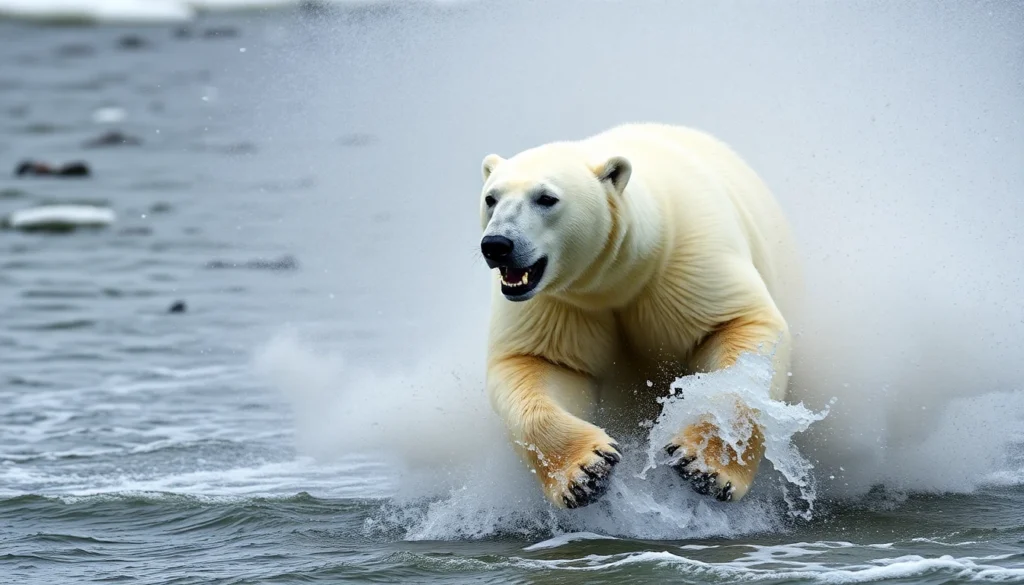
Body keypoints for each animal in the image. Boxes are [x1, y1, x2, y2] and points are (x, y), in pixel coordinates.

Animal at [478, 122, 801, 508]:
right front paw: (588, 471)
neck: (620, 275)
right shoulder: (559, 302)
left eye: (546, 198)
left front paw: (704, 466)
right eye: (491, 198)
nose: (497, 245)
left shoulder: (688, 259)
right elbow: (537, 362)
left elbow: (739, 326)